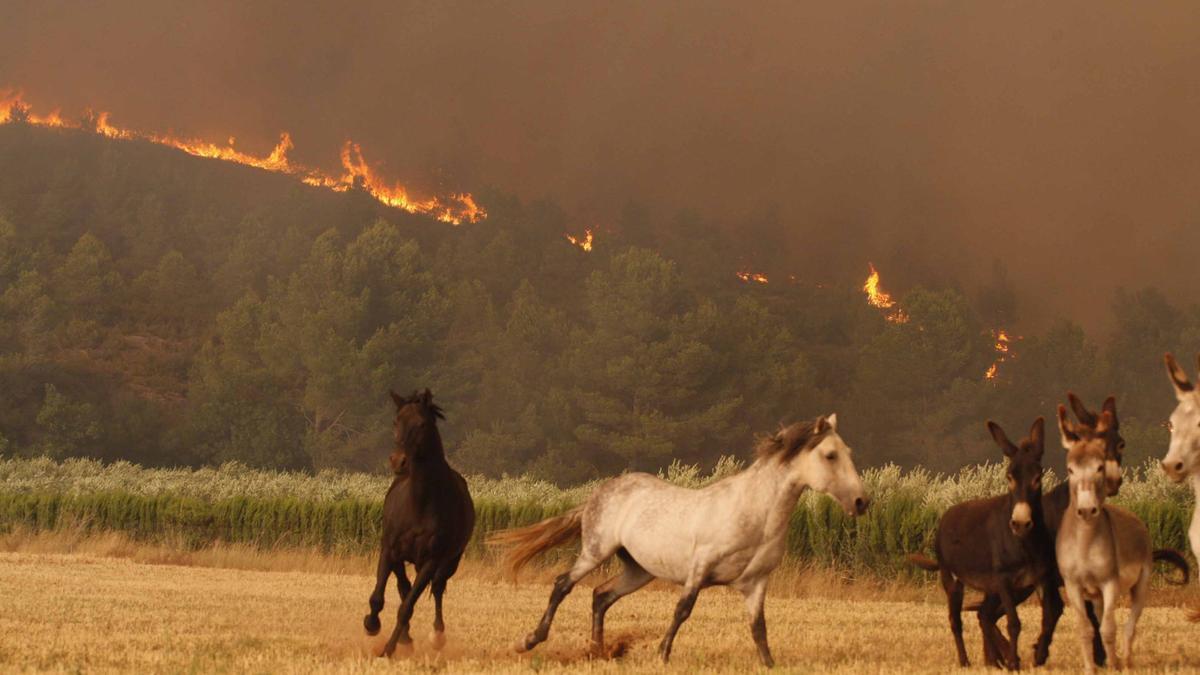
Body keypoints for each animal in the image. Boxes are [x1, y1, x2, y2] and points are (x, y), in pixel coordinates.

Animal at [362, 386, 475, 653]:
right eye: (396, 421)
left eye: (422, 424)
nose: (398, 461)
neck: (420, 503)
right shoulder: (389, 550)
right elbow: (379, 597)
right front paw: (372, 625)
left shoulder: (431, 561)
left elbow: (407, 607)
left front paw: (388, 650)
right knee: (403, 586)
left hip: (451, 561)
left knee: (437, 589)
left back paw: (436, 635)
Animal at [487, 413, 873, 662]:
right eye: (830, 455)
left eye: (849, 453)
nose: (861, 502)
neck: (756, 515)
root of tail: (600, 491)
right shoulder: (700, 568)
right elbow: (682, 610)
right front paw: (662, 654)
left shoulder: (756, 583)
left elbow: (759, 630)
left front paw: (770, 665)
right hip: (596, 550)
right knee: (563, 584)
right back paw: (530, 641)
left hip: (639, 570)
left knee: (601, 595)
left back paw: (598, 651)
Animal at [907, 415, 1051, 667]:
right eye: (1009, 477)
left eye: (1038, 477)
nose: (1021, 522)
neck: (1025, 544)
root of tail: (947, 515)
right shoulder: (1003, 580)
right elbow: (1014, 623)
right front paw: (1014, 665)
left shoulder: (1037, 580)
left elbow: (1047, 621)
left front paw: (1035, 660)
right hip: (953, 580)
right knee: (957, 621)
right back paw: (967, 661)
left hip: (996, 589)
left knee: (984, 615)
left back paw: (995, 659)